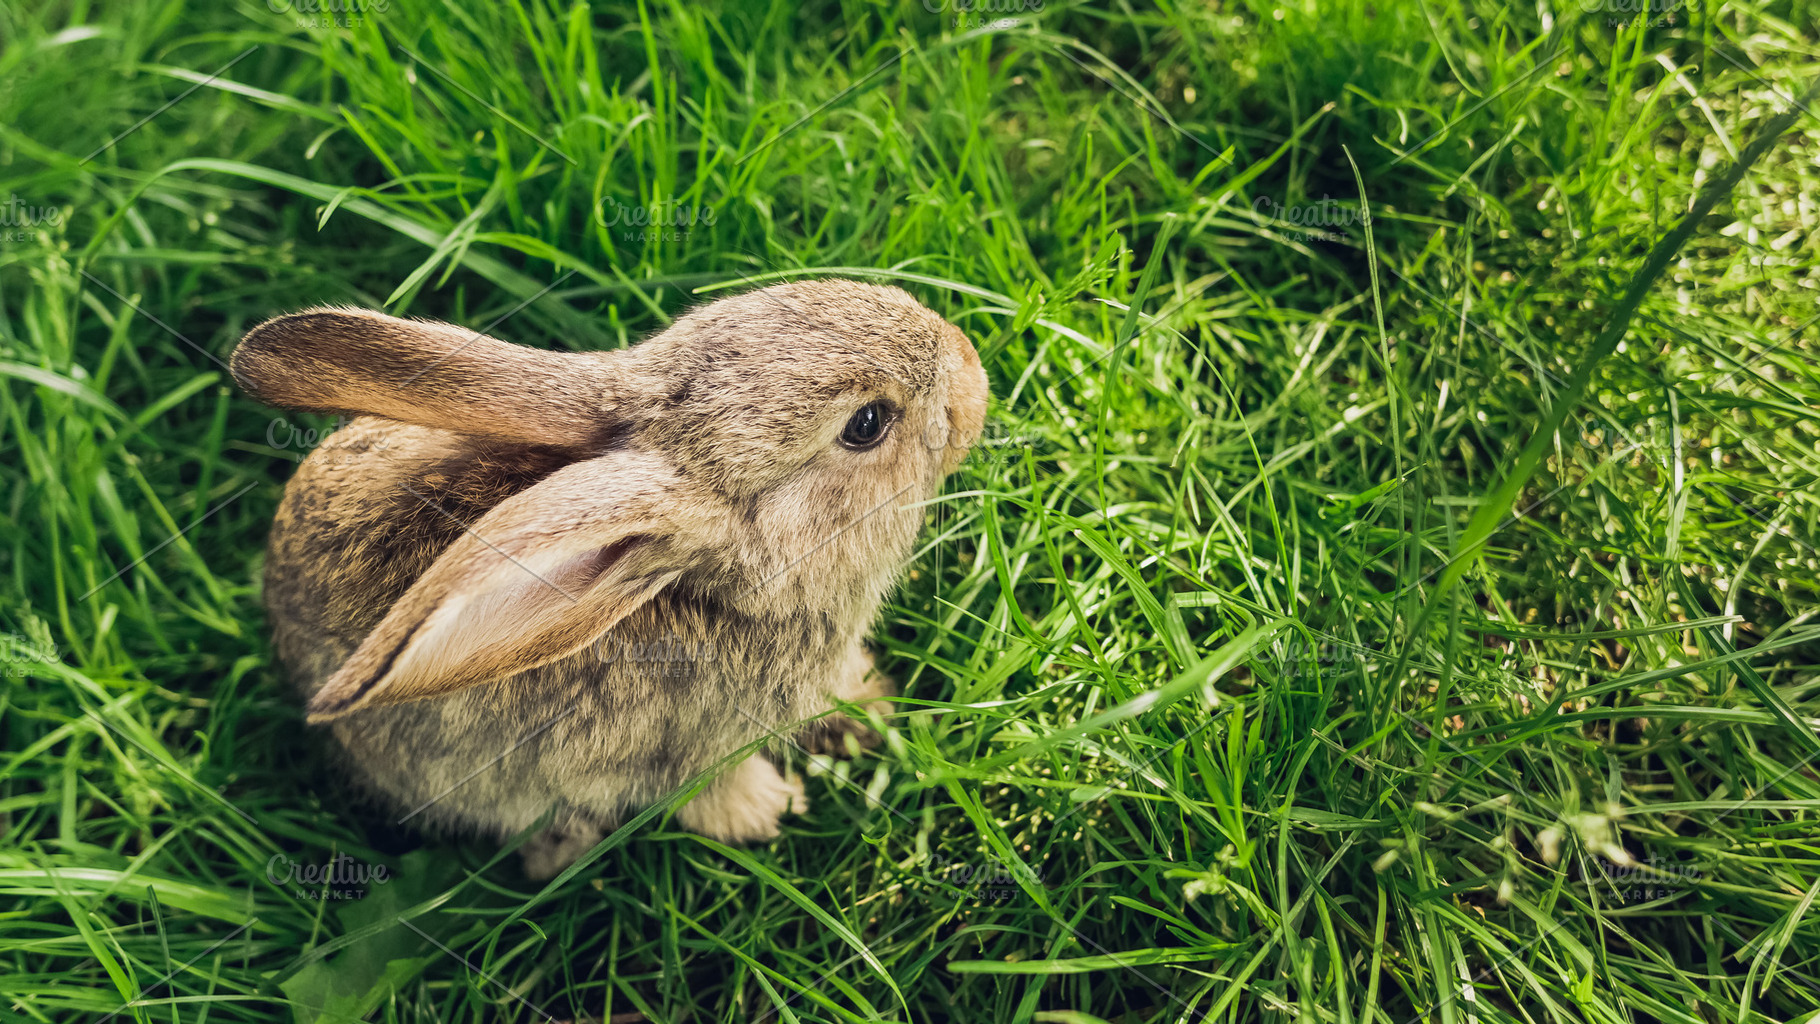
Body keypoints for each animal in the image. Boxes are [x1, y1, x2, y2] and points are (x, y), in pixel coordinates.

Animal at [231, 279, 988, 879]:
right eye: (867, 423)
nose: (972, 367)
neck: (730, 590)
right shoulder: (695, 750)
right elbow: (710, 793)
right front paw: (767, 813)